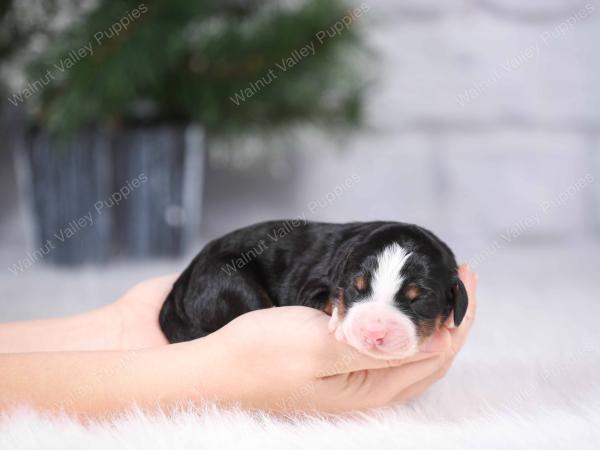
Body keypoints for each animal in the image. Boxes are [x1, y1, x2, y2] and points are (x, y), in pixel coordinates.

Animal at [157, 220, 466, 360]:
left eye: (418, 299)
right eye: (356, 289)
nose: (373, 334)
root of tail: (182, 281)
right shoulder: (313, 285)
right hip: (229, 284)